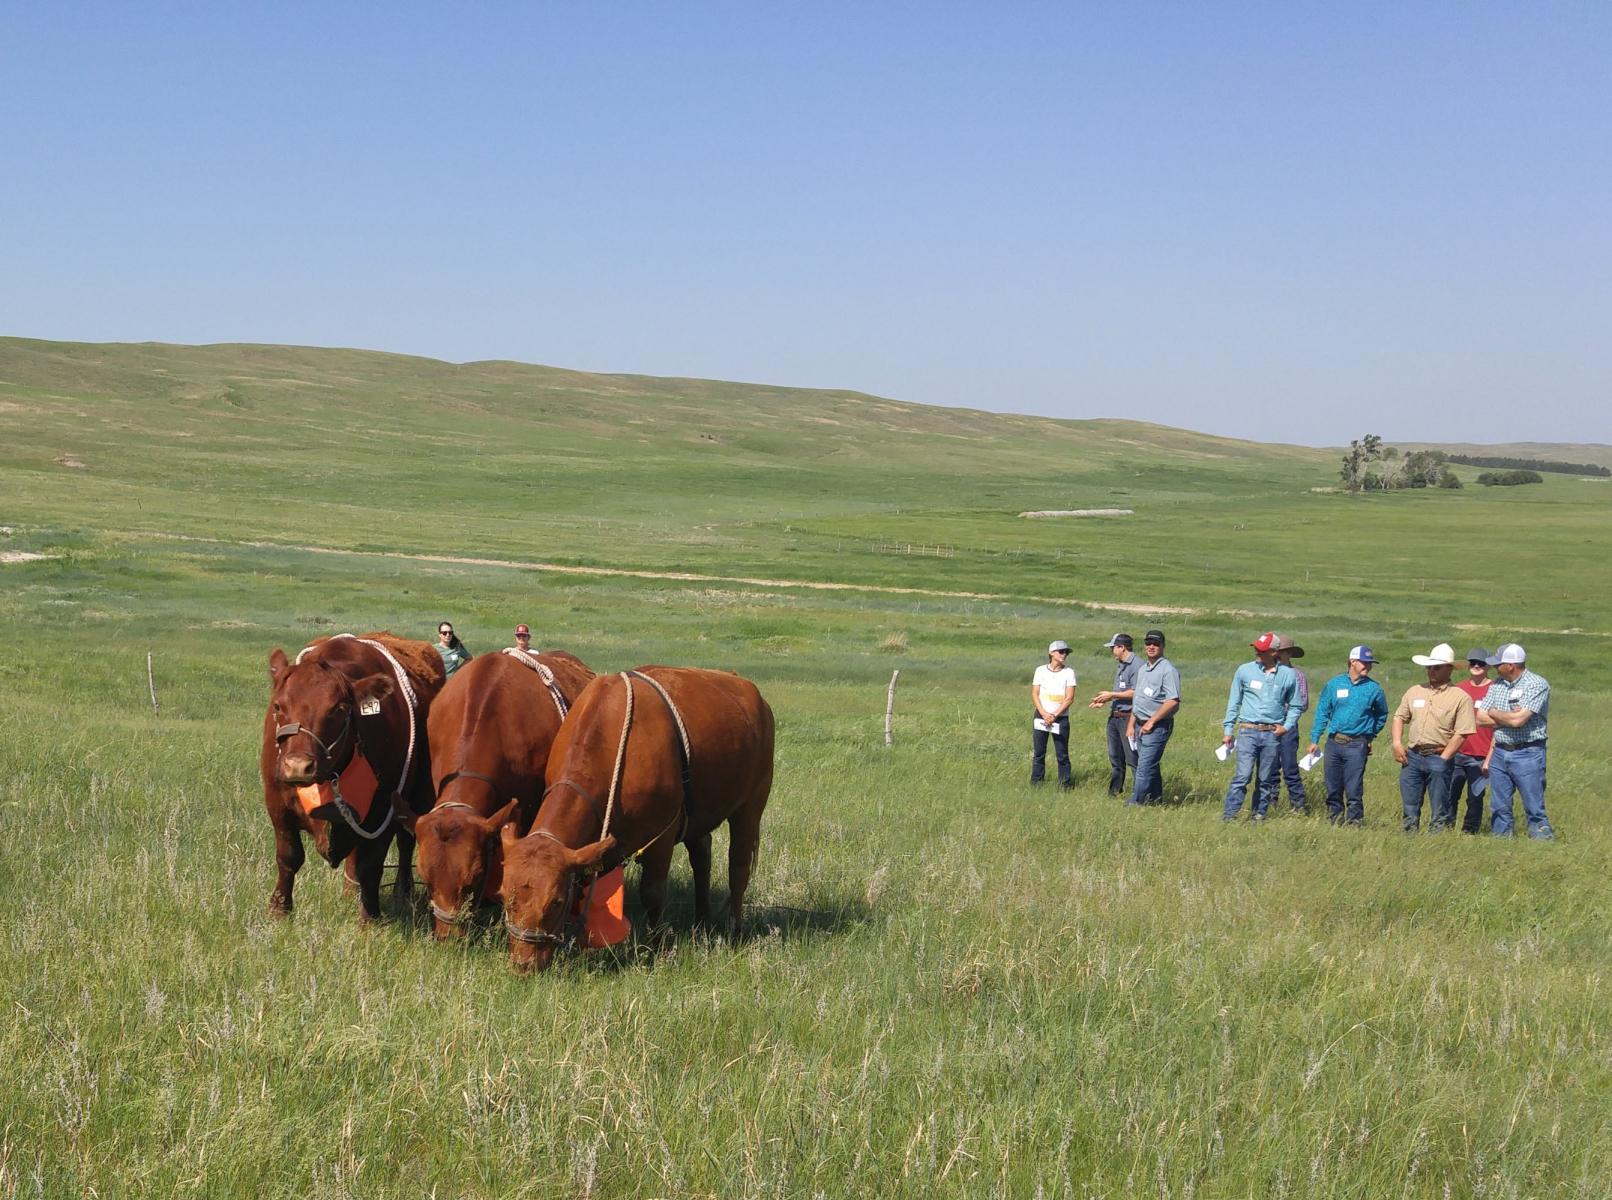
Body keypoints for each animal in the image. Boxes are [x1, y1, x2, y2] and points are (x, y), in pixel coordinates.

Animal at [261, 632, 444, 922]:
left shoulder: (383, 810)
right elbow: (288, 857)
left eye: (337, 709)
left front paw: (369, 918)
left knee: (406, 842)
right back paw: (350, 890)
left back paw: (402, 890)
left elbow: (371, 865)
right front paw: (279, 909)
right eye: (278, 706)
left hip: (419, 796)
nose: (298, 766)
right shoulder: (277, 803)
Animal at [502, 664, 780, 974]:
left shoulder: (662, 835)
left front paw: (658, 947)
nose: (524, 964)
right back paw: (702, 922)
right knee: (702, 857)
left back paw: (735, 931)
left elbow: (653, 893)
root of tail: (745, 686)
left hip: (752, 804)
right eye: (503, 897)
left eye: (555, 902)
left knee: (738, 868)